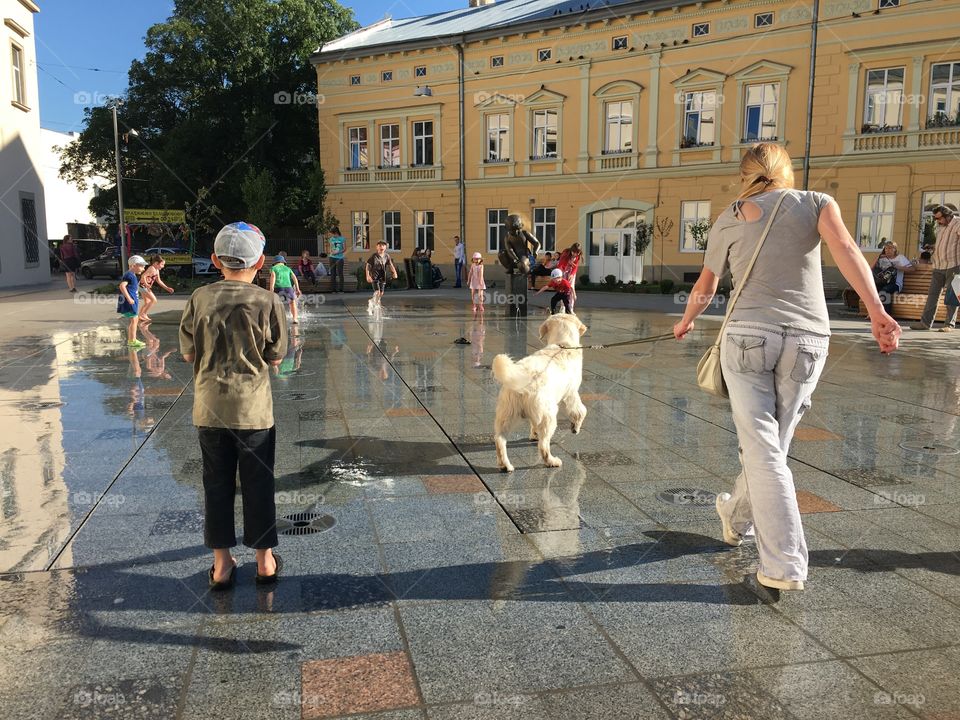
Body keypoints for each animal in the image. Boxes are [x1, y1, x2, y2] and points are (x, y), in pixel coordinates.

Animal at [492, 316, 588, 472]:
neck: (563, 344)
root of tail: (523, 377)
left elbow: (533, 425)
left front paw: (534, 434)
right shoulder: (572, 393)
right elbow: (580, 411)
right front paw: (576, 427)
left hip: (507, 414)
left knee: (499, 439)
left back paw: (505, 465)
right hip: (548, 415)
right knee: (543, 445)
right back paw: (552, 461)